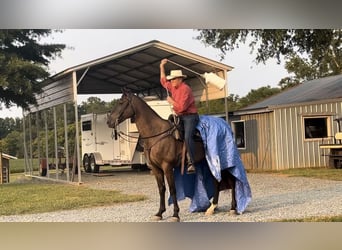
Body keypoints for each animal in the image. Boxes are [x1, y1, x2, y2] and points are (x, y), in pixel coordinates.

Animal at [107, 89, 235, 221]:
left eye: (121, 102)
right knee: (217, 182)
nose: (109, 121)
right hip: (209, 163)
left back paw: (233, 209)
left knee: (232, 182)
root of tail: (225, 126)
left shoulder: (167, 167)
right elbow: (161, 189)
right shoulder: (156, 168)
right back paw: (212, 208)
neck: (156, 133)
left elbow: (173, 190)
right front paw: (159, 213)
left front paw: (175, 214)